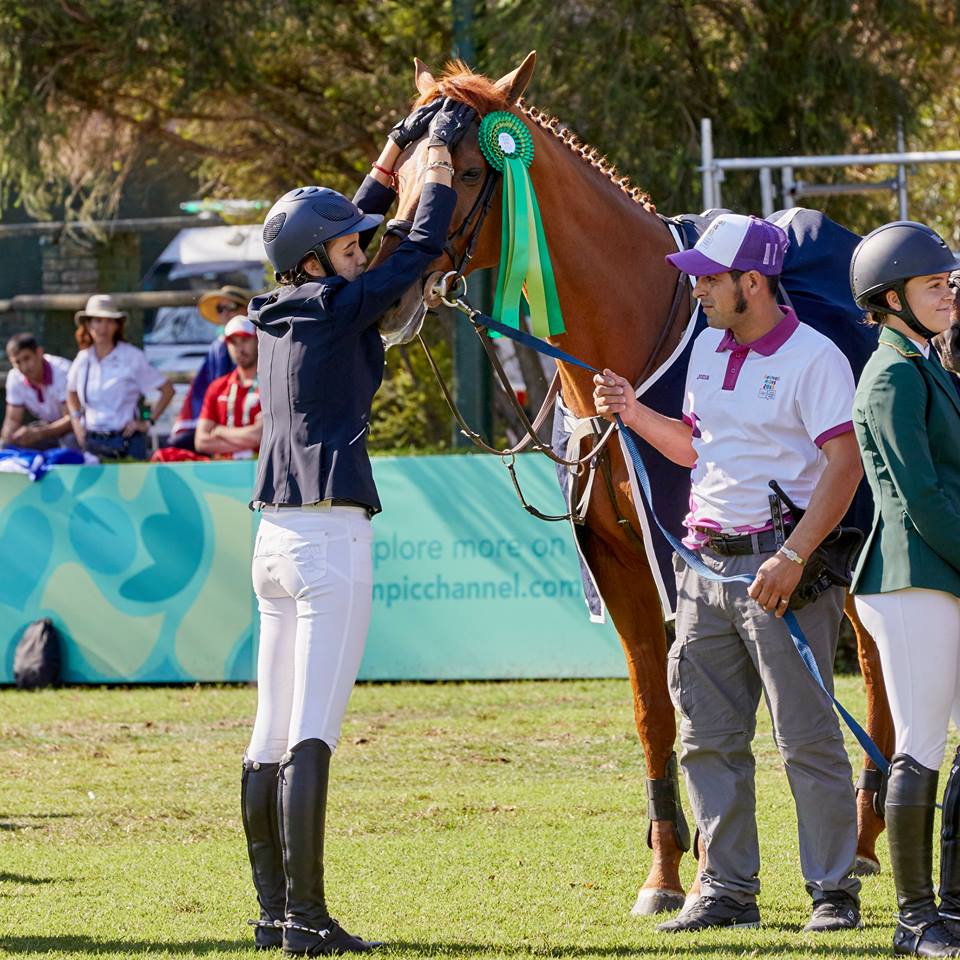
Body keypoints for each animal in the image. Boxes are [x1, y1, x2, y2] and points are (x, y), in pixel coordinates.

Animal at [371, 52, 893, 914]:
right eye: (400, 169)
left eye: (470, 170)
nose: (391, 290)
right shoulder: (619, 563)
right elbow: (656, 710)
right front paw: (666, 873)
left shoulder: (691, 558)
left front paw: (709, 868)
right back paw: (867, 833)